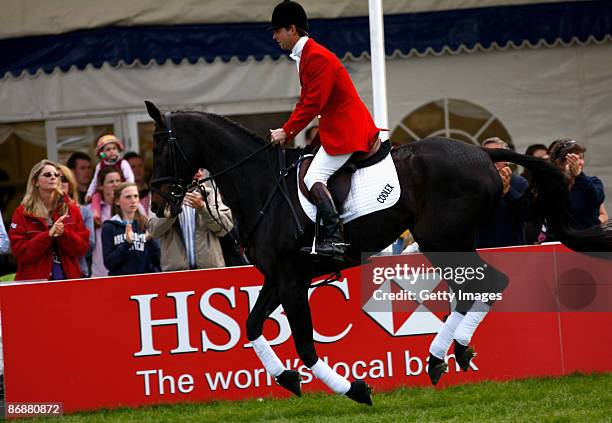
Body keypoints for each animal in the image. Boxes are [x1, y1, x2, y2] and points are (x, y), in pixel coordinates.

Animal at [147, 101, 612, 406]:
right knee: (474, 290)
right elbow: (252, 324)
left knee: (488, 284)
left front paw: (353, 388)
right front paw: (286, 378)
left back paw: (442, 354)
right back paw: (449, 354)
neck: (263, 186)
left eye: (158, 146)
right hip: (451, 241)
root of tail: (483, 151)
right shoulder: (277, 277)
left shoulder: (293, 279)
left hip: (440, 239)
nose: (158, 206)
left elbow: (305, 344)